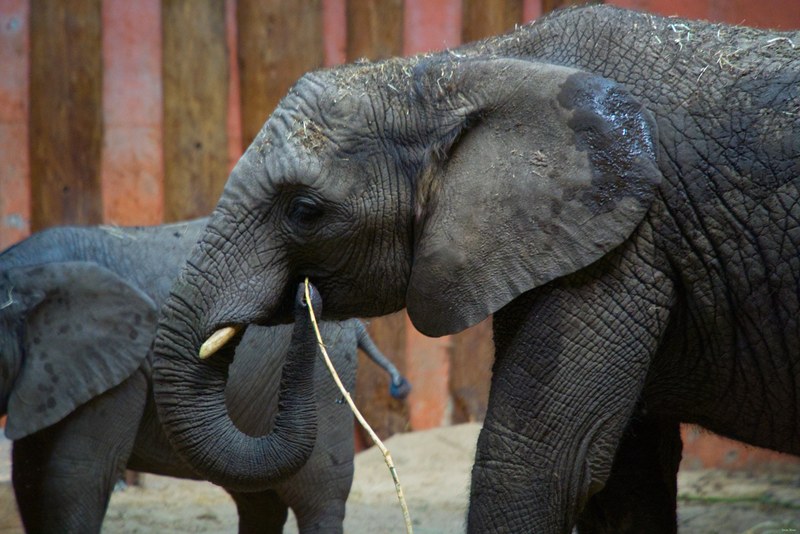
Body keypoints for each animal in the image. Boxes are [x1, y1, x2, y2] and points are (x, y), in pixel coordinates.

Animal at [0, 219, 409, 533]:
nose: (304, 290)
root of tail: (358, 326)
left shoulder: (119, 374)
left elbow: (74, 476)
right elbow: (28, 476)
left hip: (328, 378)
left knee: (318, 495)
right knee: (257, 496)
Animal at [151, 4, 800, 533]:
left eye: (305, 212)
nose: (302, 295)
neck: (464, 71)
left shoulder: (629, 243)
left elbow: (539, 463)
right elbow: (626, 477)